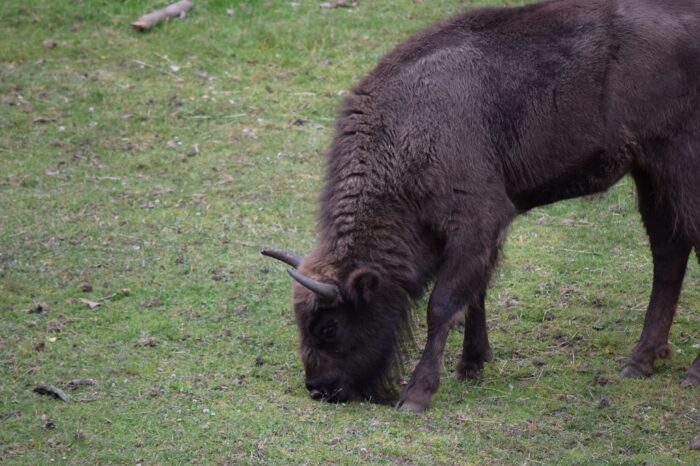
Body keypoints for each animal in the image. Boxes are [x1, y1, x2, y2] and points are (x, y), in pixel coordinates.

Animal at [263, 0, 700, 411]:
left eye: (328, 328)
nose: (319, 388)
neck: (405, 131)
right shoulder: (482, 234)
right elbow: (477, 292)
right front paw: (471, 365)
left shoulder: (475, 222)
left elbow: (443, 304)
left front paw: (417, 395)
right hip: (649, 173)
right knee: (669, 255)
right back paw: (640, 361)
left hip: (677, 165)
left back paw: (689, 374)